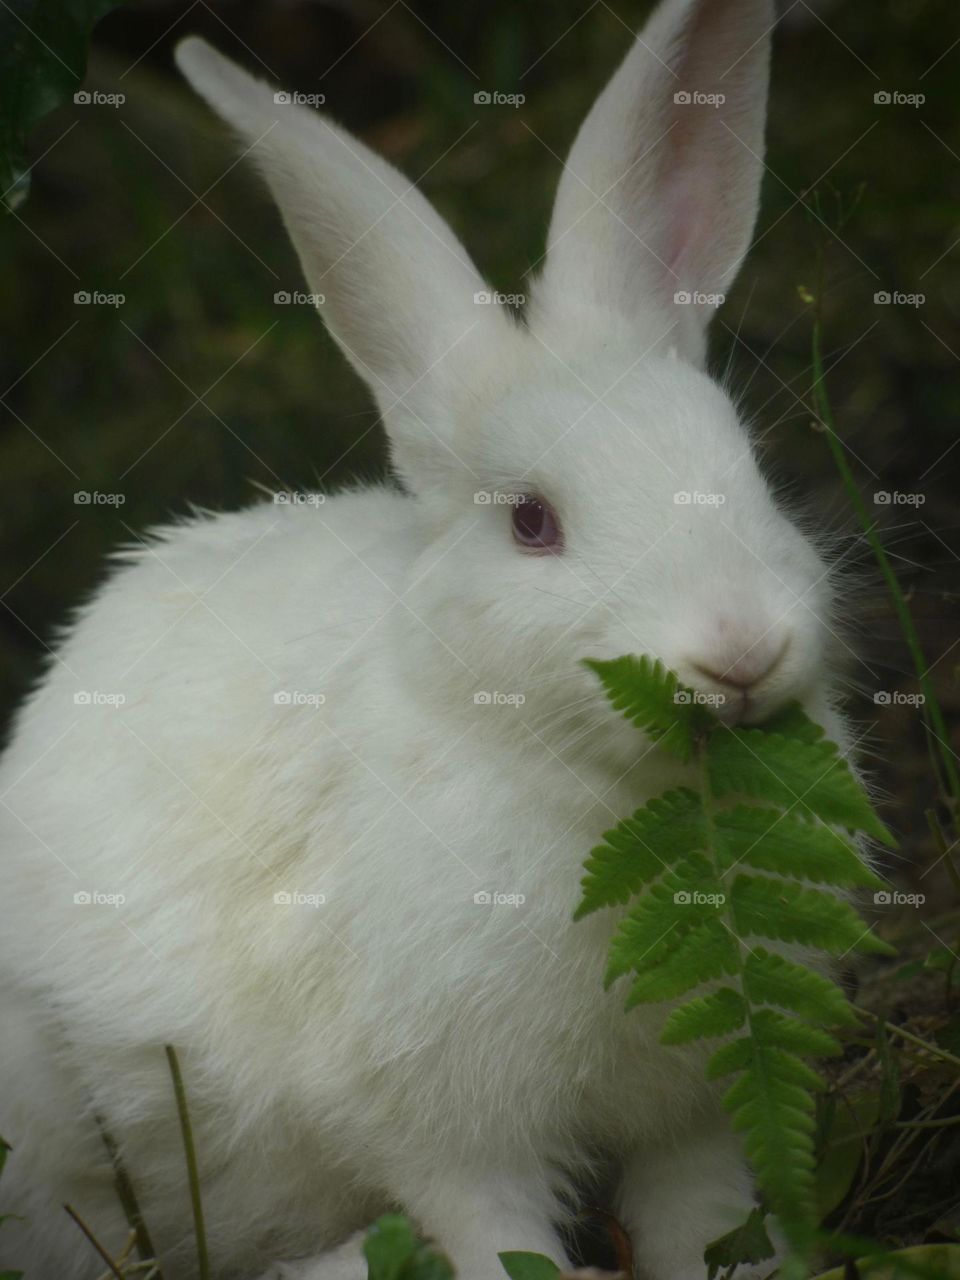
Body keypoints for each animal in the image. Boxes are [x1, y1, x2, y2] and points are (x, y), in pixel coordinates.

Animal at [1, 2, 855, 1280]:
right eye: (532, 522)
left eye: (745, 469)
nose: (741, 649)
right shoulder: (439, 1123)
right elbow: (493, 1229)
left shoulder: (694, 1106)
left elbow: (701, 1212)